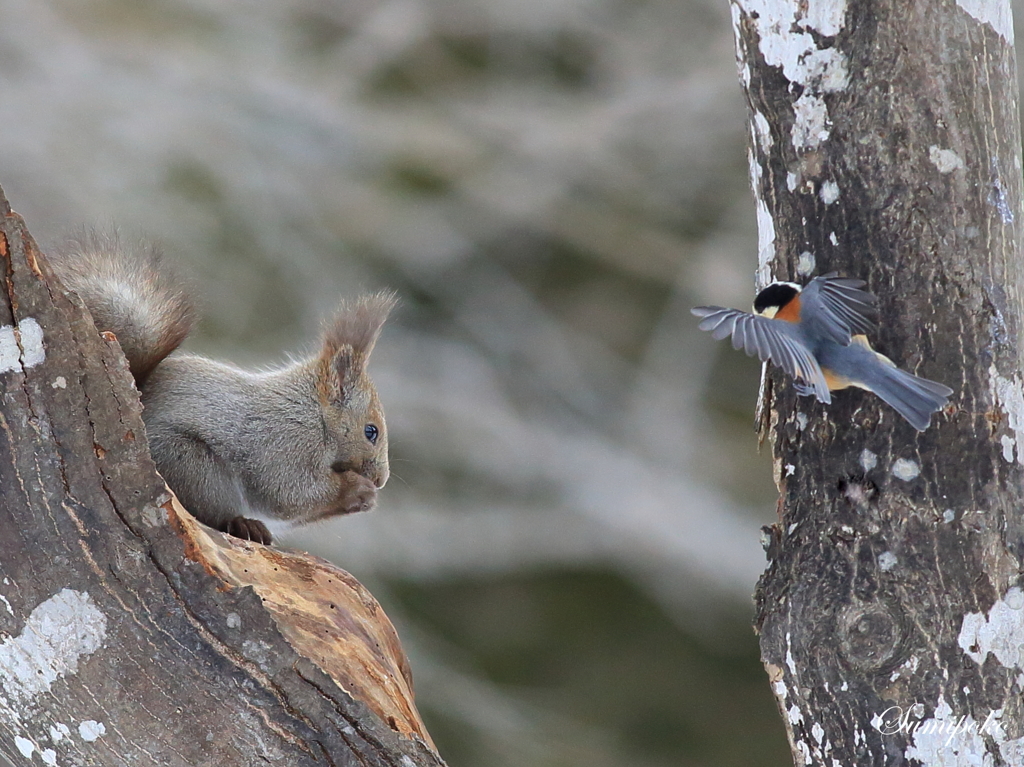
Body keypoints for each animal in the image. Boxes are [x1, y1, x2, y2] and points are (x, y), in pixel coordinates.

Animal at [49, 229, 397, 544]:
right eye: (371, 431)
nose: (381, 481)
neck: (312, 413)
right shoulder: (283, 443)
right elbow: (289, 493)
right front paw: (357, 490)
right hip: (191, 466)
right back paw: (244, 524)